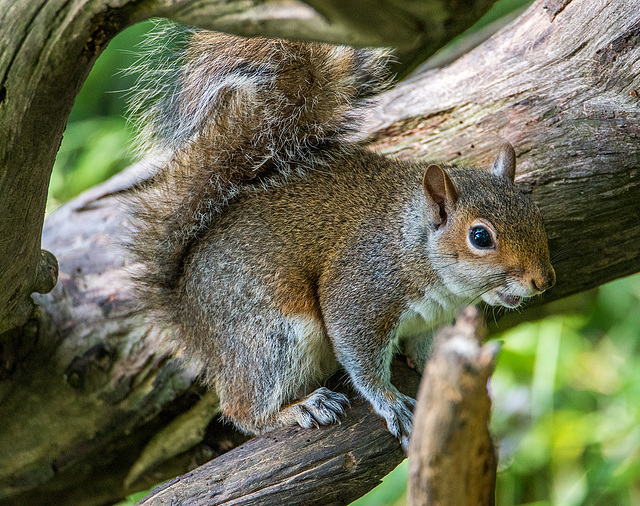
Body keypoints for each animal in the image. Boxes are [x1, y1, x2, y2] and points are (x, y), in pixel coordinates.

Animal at [125, 23, 556, 450]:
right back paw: (298, 409)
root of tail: (185, 311)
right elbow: (360, 358)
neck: (413, 244)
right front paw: (390, 403)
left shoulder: (431, 322)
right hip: (269, 336)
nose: (544, 280)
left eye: (535, 213)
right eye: (480, 237)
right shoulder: (361, 289)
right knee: (243, 410)